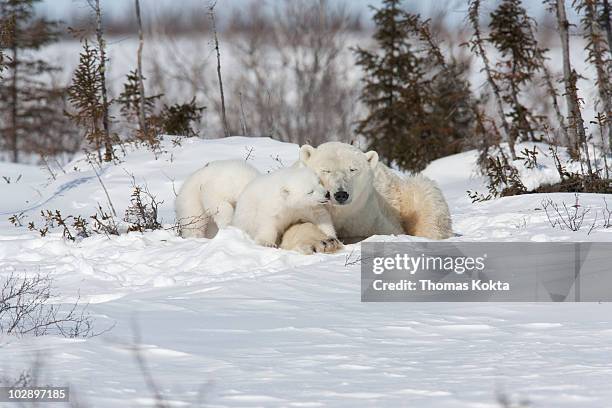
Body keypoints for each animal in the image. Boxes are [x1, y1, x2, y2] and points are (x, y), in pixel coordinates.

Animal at [280, 141, 452, 249]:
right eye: (326, 170)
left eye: (353, 169)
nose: (341, 194)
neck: (340, 214)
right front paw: (323, 243)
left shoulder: (369, 215)